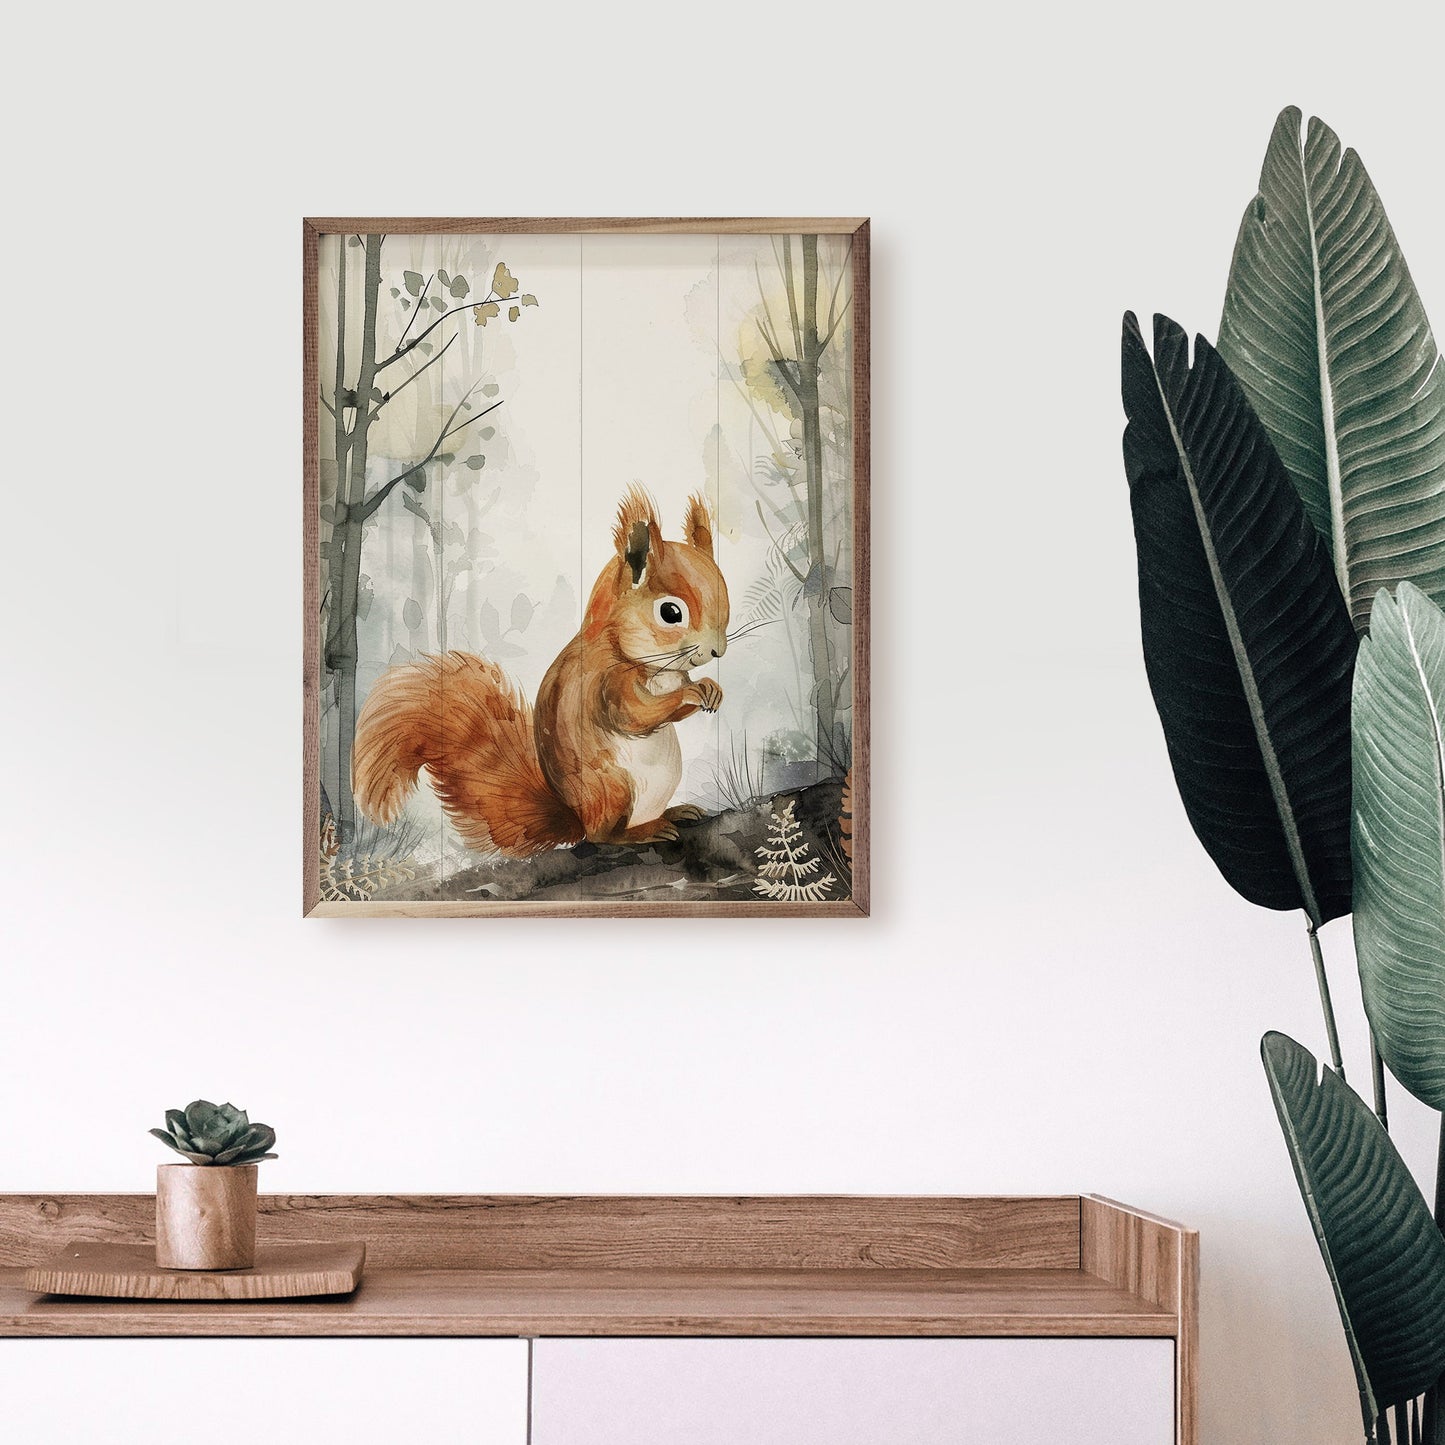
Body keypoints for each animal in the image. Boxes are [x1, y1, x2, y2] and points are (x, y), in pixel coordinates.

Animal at [352, 486, 730, 856]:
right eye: (670, 612)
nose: (718, 651)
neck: (651, 664)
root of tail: (576, 816)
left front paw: (710, 690)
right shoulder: (605, 682)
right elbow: (634, 714)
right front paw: (694, 690)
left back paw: (675, 812)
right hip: (613, 788)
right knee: (603, 834)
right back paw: (641, 830)